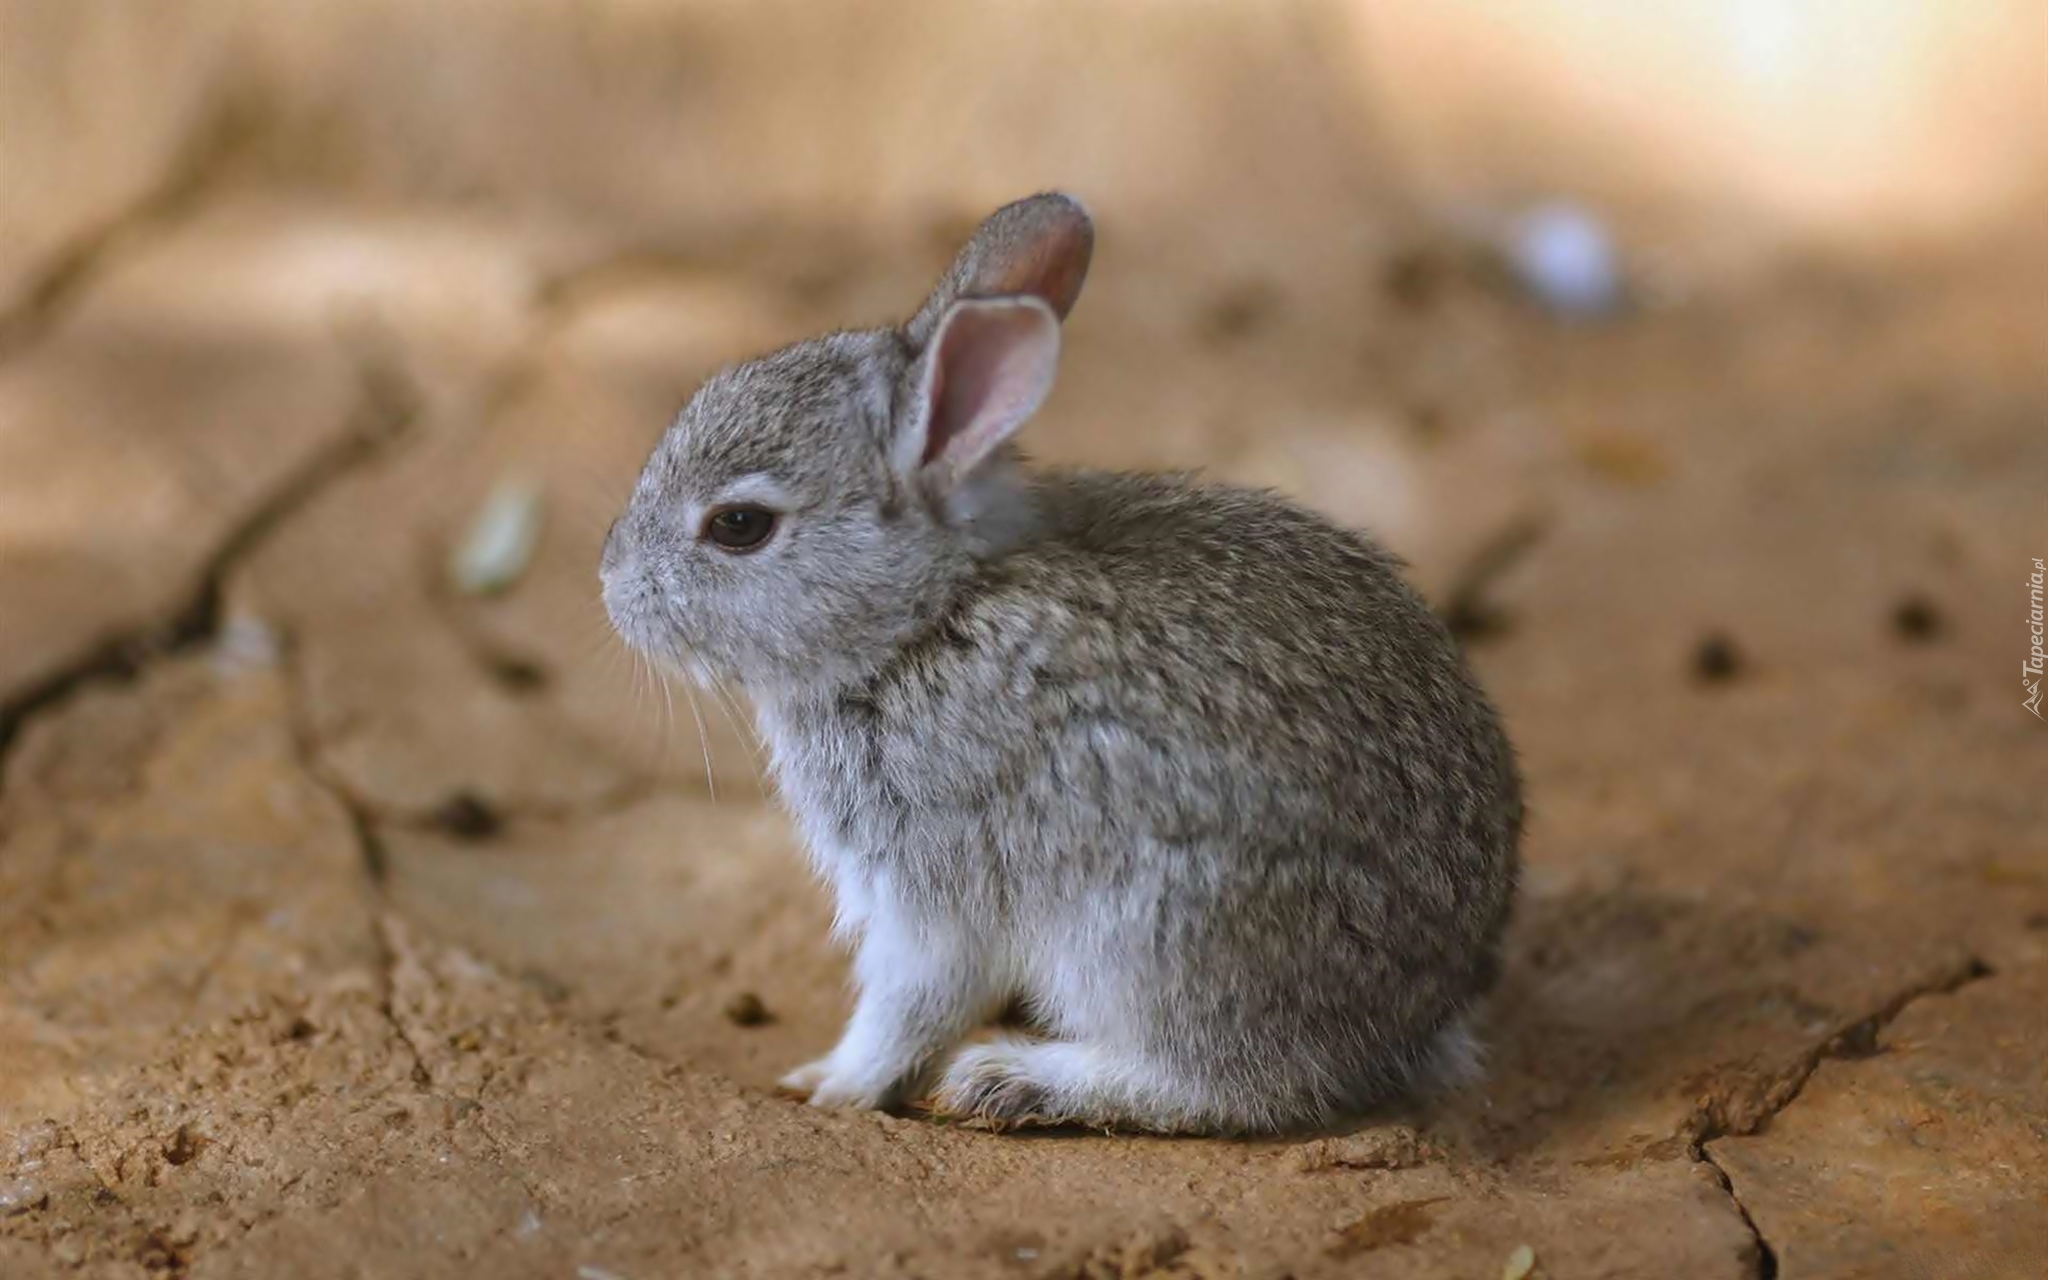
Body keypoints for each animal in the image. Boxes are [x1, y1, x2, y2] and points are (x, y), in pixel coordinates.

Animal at [598, 192, 1515, 1130]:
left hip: (1150, 931)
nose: (611, 584)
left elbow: (909, 1002)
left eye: (739, 526)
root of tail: (1417, 1012)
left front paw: (832, 1086)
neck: (926, 617)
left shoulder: (933, 883)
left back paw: (1013, 1080)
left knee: (1230, 1083)